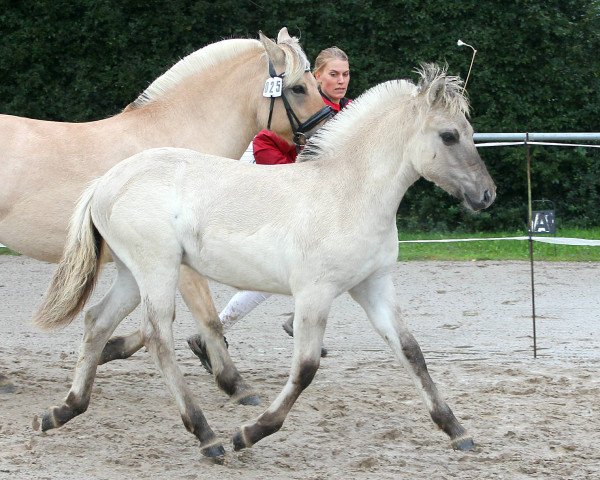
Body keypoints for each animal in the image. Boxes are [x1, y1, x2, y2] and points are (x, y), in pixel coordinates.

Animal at [0, 26, 330, 402]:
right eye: (299, 88)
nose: (326, 134)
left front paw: (110, 349)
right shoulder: (181, 264)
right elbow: (205, 317)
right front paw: (236, 385)